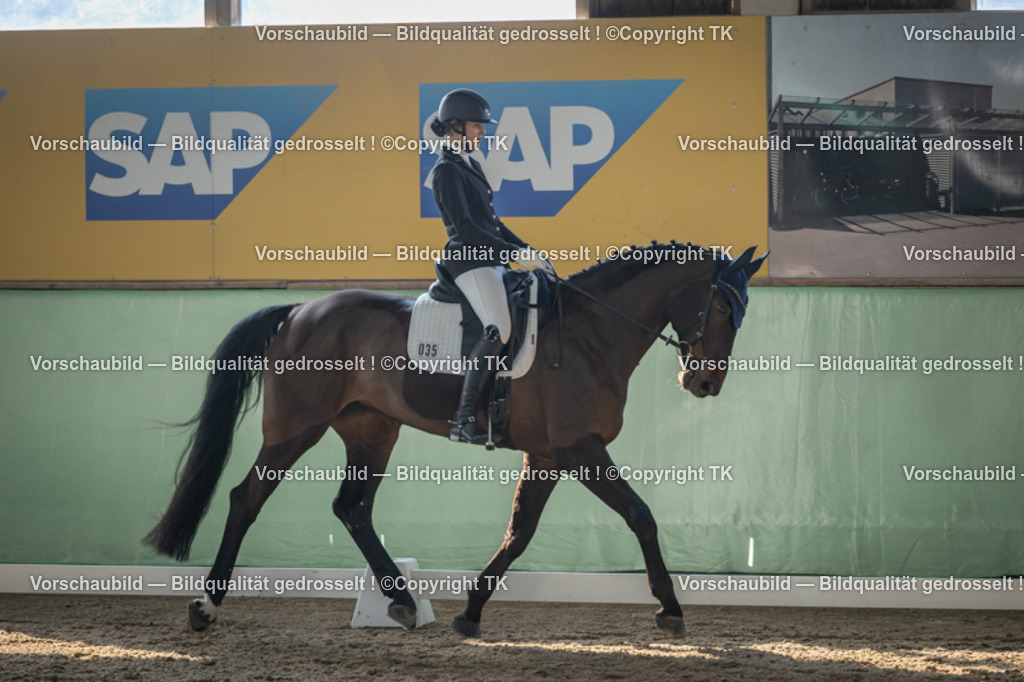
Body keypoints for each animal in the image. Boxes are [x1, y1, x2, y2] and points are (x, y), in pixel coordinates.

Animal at [144, 241, 767, 637]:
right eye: (721, 307)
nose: (705, 383)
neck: (591, 334)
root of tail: (300, 310)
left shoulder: (548, 455)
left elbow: (519, 533)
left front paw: (471, 610)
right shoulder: (579, 449)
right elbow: (641, 515)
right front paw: (670, 608)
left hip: (371, 430)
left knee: (352, 508)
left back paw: (401, 600)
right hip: (297, 428)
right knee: (246, 498)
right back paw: (205, 606)